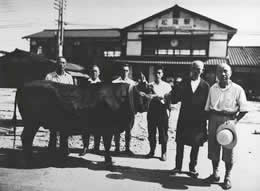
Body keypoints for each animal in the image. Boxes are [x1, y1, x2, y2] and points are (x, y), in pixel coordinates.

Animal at [17, 80, 149, 163]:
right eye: (148, 90)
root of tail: (24, 85)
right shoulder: (108, 129)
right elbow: (107, 145)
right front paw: (109, 160)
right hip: (32, 122)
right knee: (26, 137)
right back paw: (30, 158)